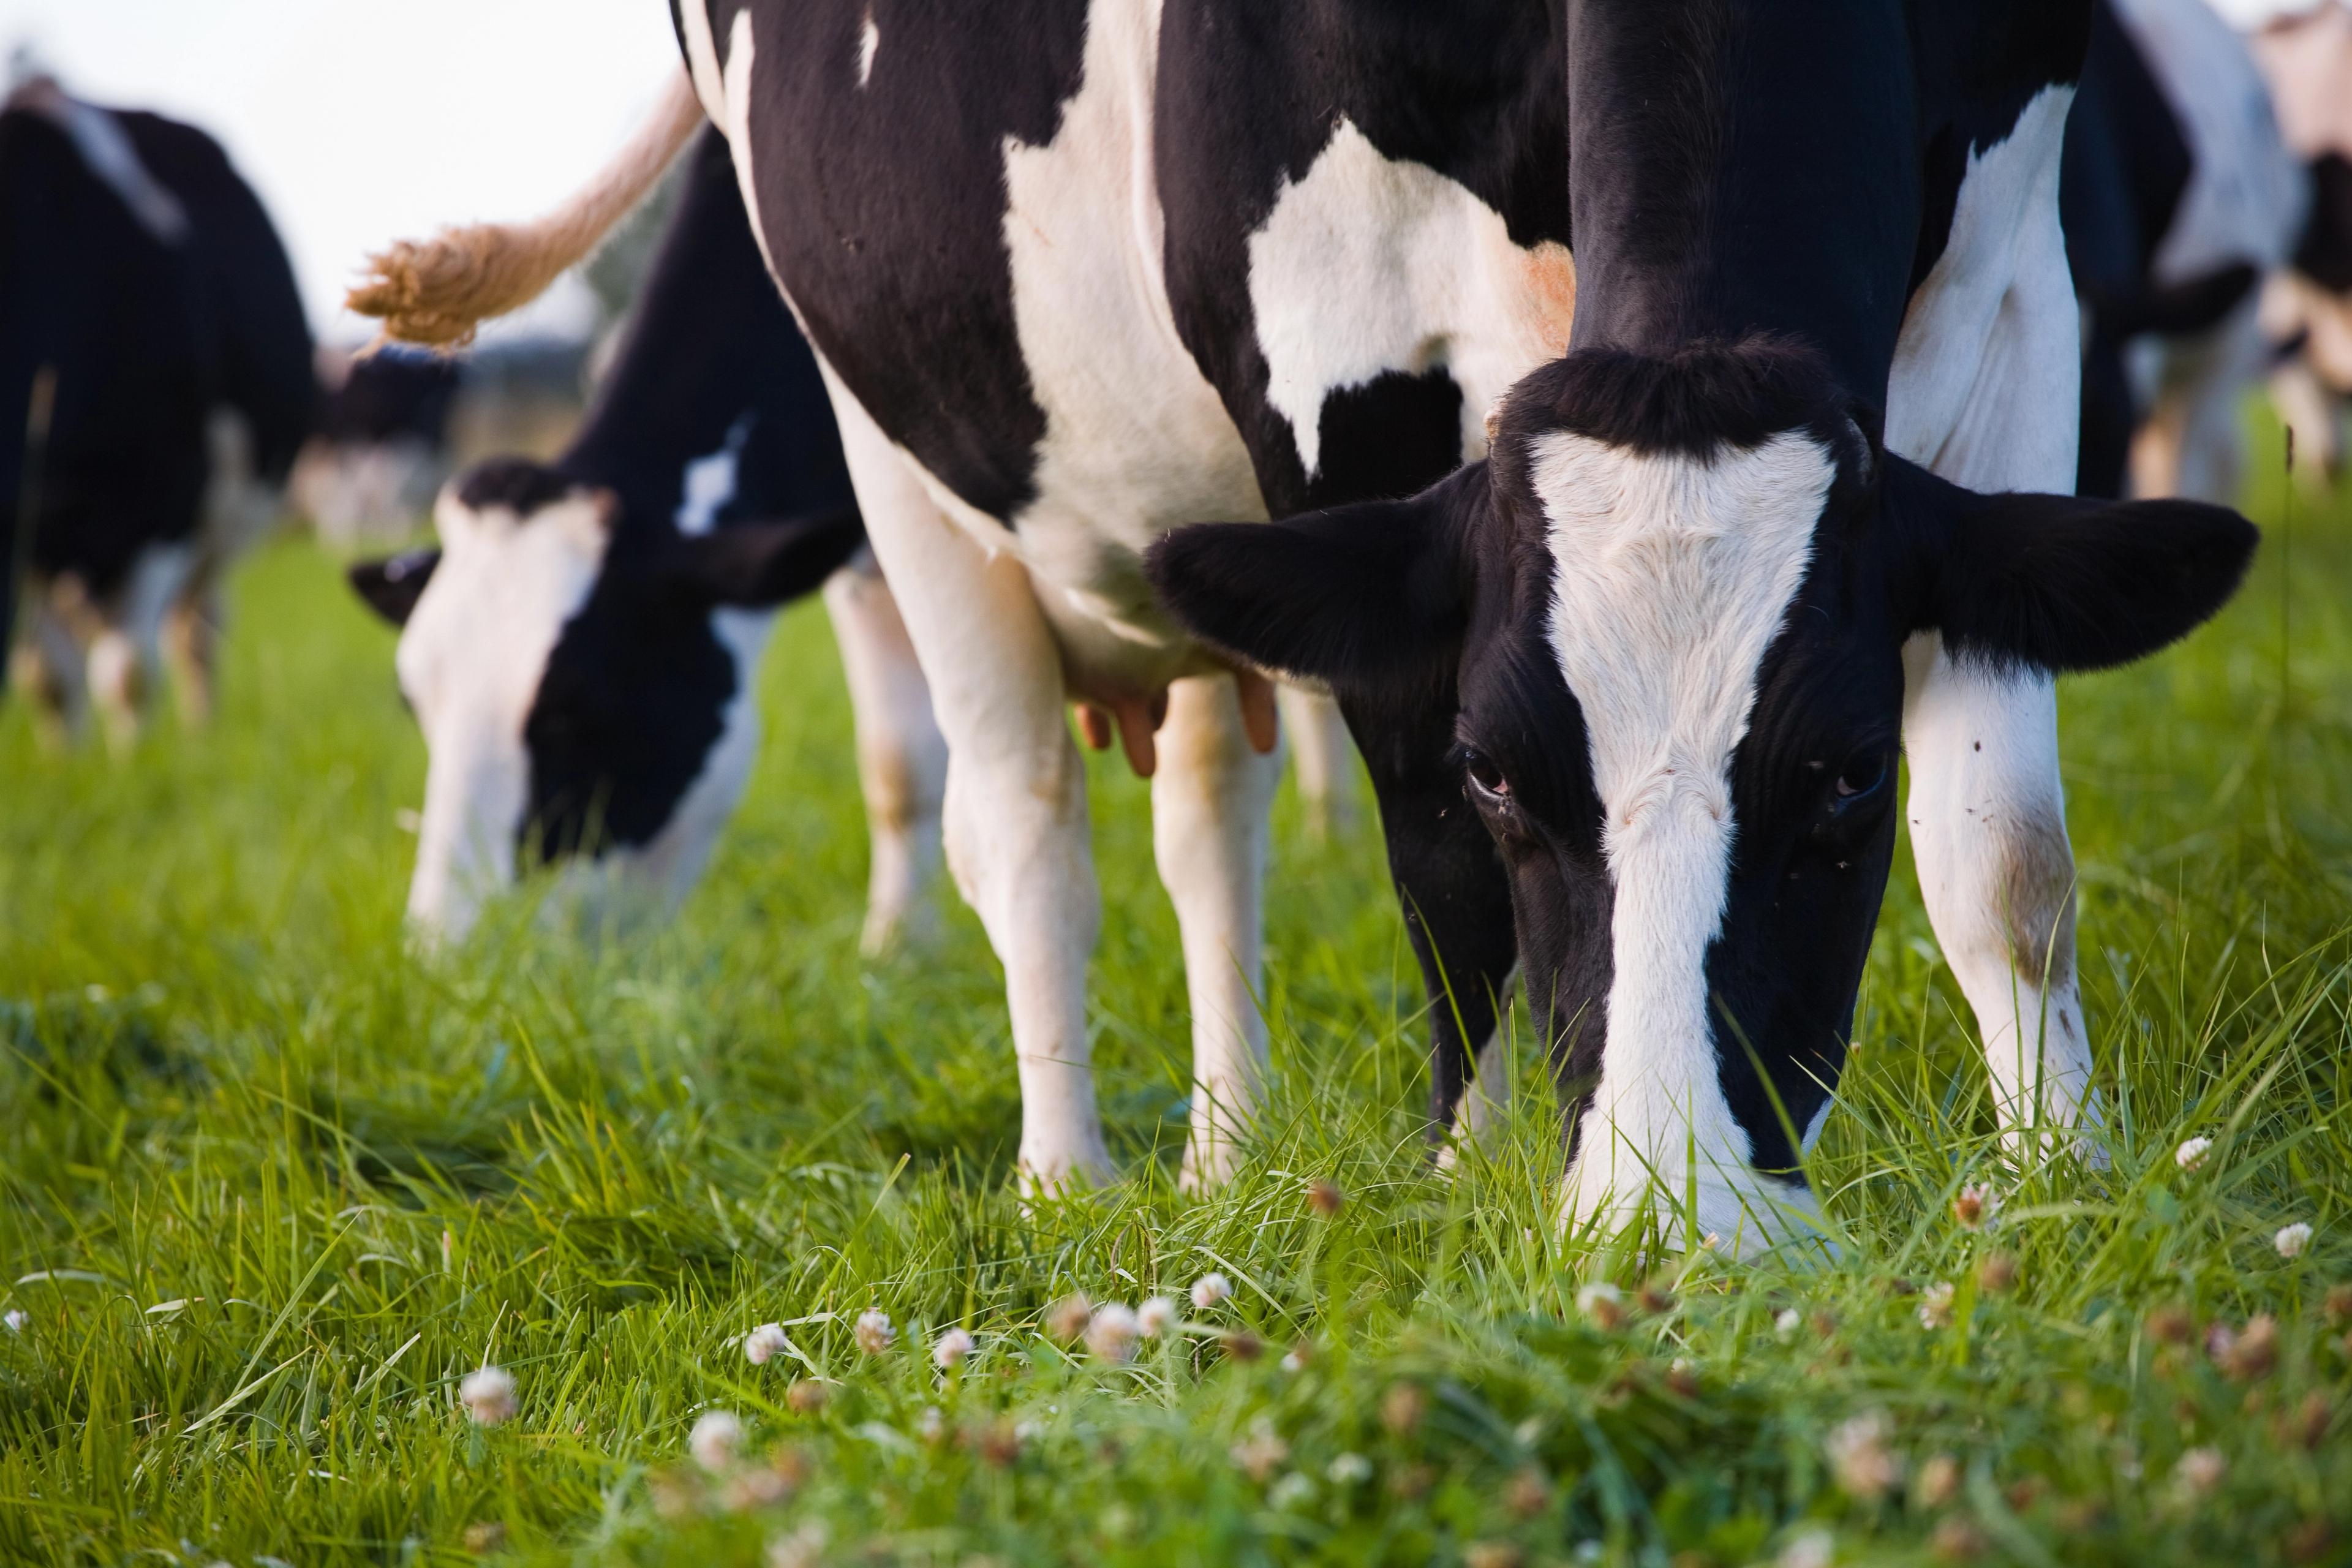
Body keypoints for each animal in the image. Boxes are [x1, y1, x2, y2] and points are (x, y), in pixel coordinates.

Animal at [1, 76, 315, 744]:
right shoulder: (30, 535)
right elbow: (49, 680)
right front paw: (71, 763)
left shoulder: (168, 496)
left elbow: (128, 672)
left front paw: (132, 763)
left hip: (217, 531)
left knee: (195, 631)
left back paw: (199, 739)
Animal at [353, 0, 2252, 1248]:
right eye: (1501, 770)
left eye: (1849, 773)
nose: (1685, 1219)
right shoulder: (1336, 346)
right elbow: (1438, 873)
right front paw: (1487, 1182)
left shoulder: (2014, 263)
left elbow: (2001, 845)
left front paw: (2067, 1176)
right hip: (901, 451)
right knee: (1023, 823)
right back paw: (1069, 1175)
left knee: (1207, 821)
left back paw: (1226, 1143)